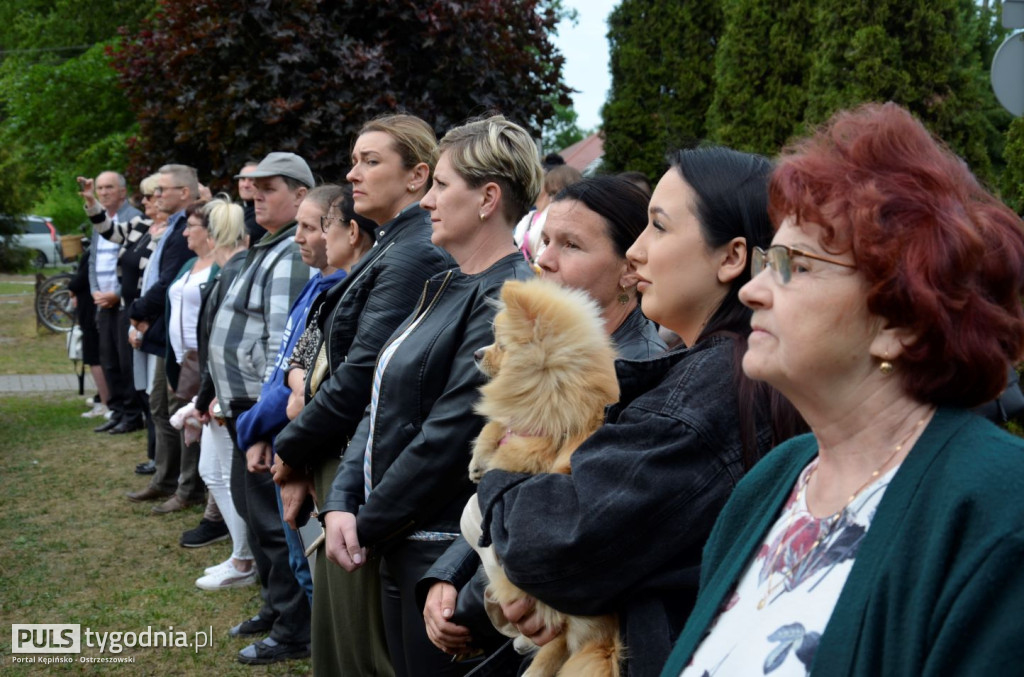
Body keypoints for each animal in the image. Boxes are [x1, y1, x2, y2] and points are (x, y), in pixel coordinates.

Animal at [466, 276, 622, 671]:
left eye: (500, 345)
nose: (476, 353)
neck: (550, 382)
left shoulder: (536, 445)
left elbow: (512, 451)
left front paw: (489, 464)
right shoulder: (519, 419)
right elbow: (496, 424)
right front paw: (478, 459)